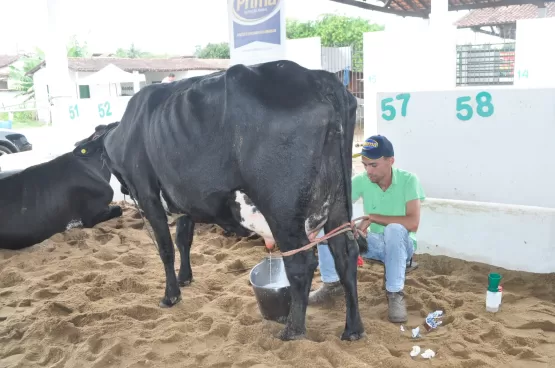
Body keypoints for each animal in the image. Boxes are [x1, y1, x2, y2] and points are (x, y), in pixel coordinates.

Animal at [74, 59, 368, 340]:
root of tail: (318, 78)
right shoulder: (184, 199)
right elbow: (183, 239)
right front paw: (185, 278)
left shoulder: (148, 196)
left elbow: (166, 249)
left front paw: (170, 295)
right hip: (338, 202)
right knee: (345, 253)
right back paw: (352, 328)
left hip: (282, 210)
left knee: (301, 263)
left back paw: (292, 330)